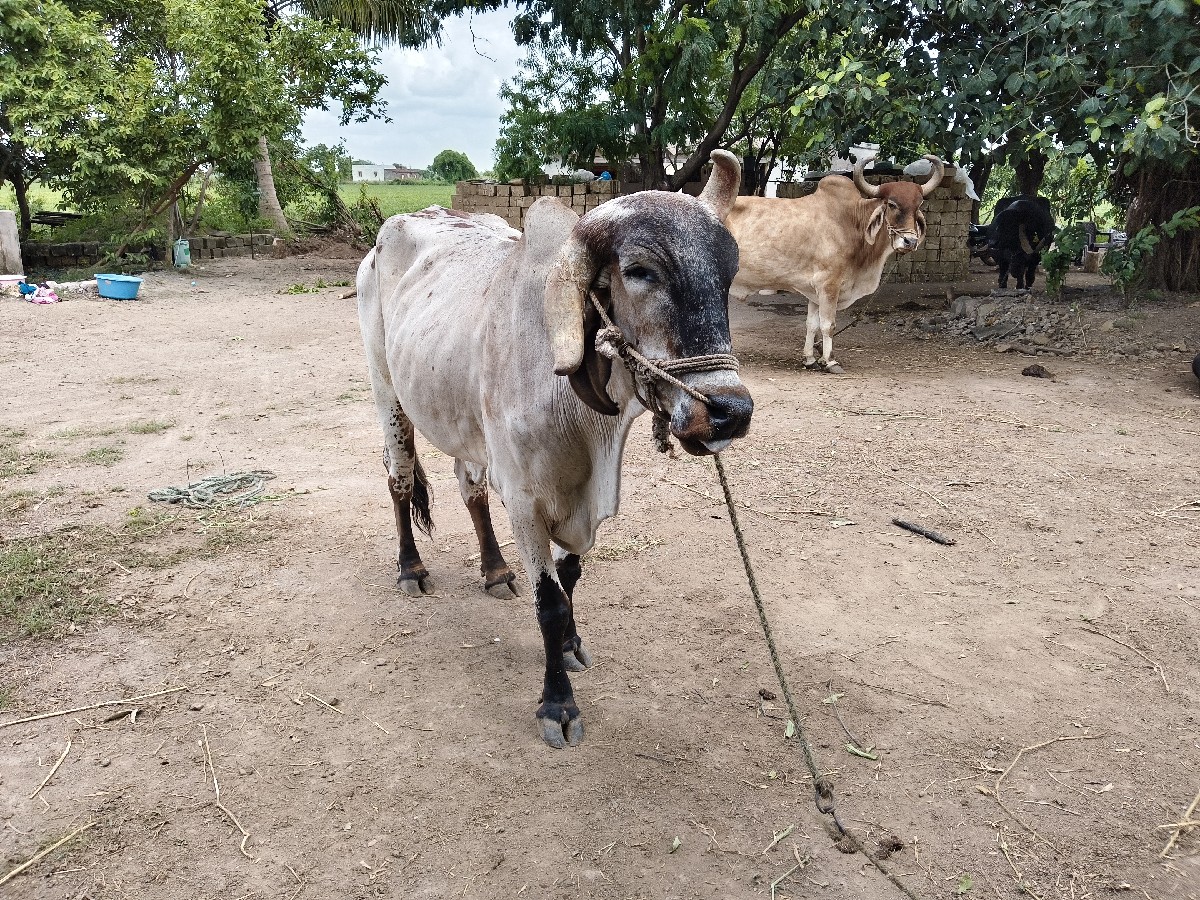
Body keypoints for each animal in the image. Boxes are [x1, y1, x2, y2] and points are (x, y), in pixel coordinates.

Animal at [357, 151, 753, 748]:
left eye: (728, 270)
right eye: (639, 270)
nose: (731, 412)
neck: (581, 416)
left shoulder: (578, 498)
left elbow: (569, 583)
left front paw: (568, 646)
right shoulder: (525, 499)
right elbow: (548, 603)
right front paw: (557, 703)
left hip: (464, 422)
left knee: (470, 488)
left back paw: (495, 570)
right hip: (388, 393)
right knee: (400, 478)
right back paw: (410, 568)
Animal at [724, 155, 944, 373]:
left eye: (918, 205)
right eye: (891, 204)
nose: (910, 242)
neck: (852, 223)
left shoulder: (813, 290)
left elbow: (812, 324)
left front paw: (810, 359)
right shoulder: (829, 284)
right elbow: (828, 325)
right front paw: (830, 361)